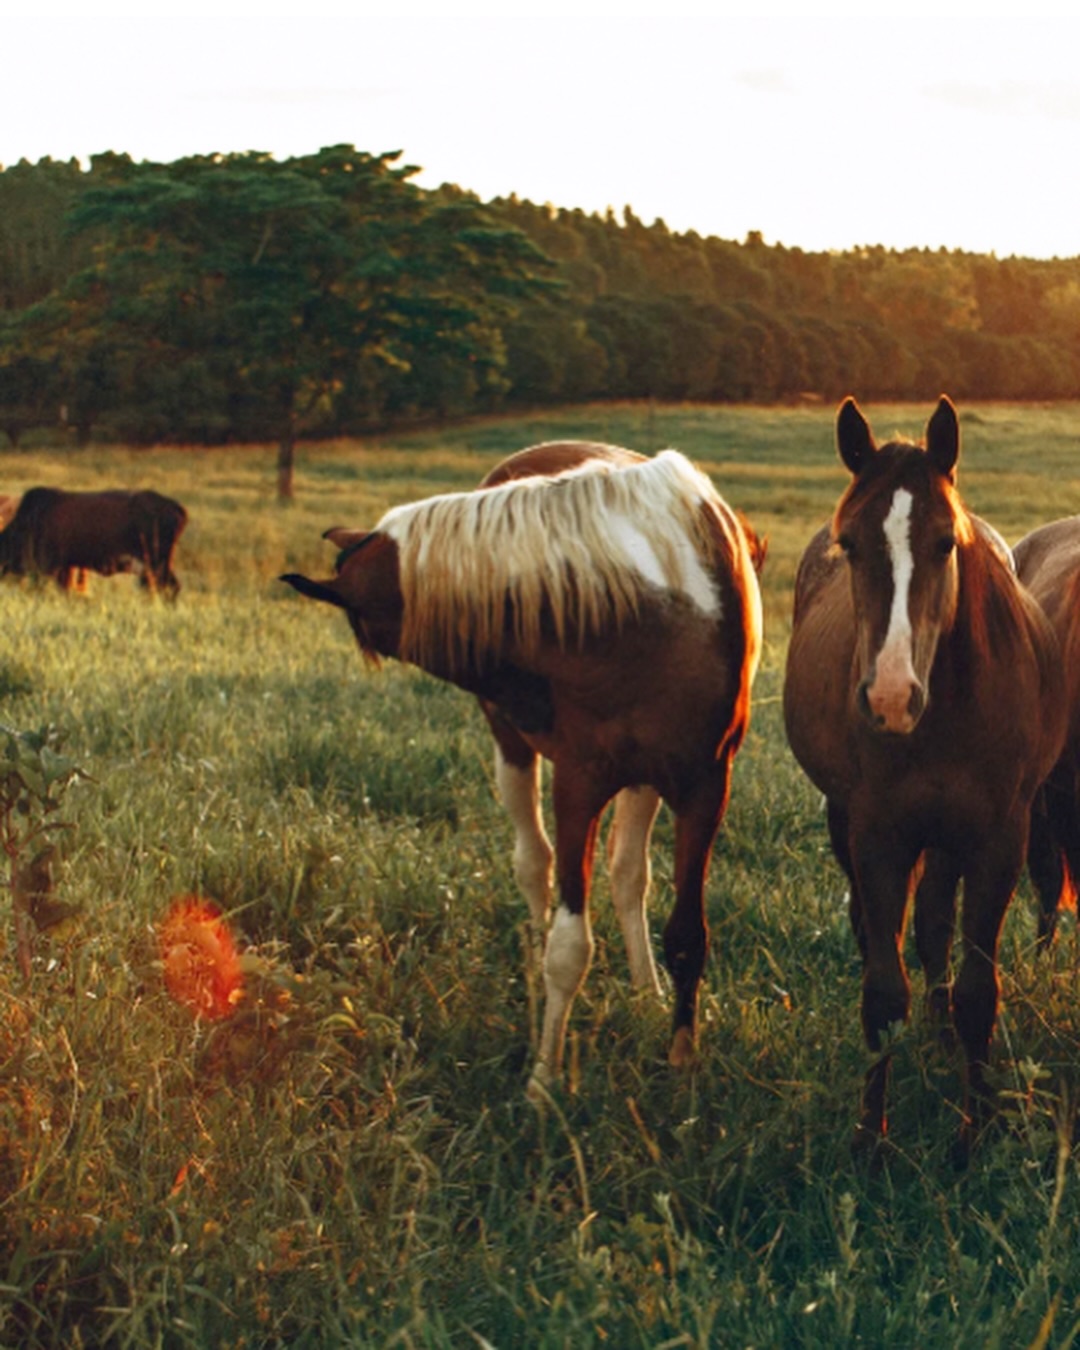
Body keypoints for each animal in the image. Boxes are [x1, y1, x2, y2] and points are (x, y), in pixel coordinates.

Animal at [282, 441, 764, 1098]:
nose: (510, 690)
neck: (654, 603)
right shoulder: (578, 783)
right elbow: (569, 944)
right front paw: (543, 1077)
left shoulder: (704, 785)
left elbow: (689, 934)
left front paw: (682, 1062)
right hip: (515, 752)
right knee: (535, 867)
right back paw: (539, 985)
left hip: (644, 778)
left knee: (626, 874)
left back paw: (644, 992)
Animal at [783, 397, 1065, 1159]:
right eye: (850, 545)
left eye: (945, 543)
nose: (889, 697)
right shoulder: (878, 834)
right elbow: (883, 992)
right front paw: (868, 1138)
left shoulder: (999, 839)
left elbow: (976, 990)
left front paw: (977, 1130)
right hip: (848, 821)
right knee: (878, 928)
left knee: (937, 921)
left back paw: (940, 1039)